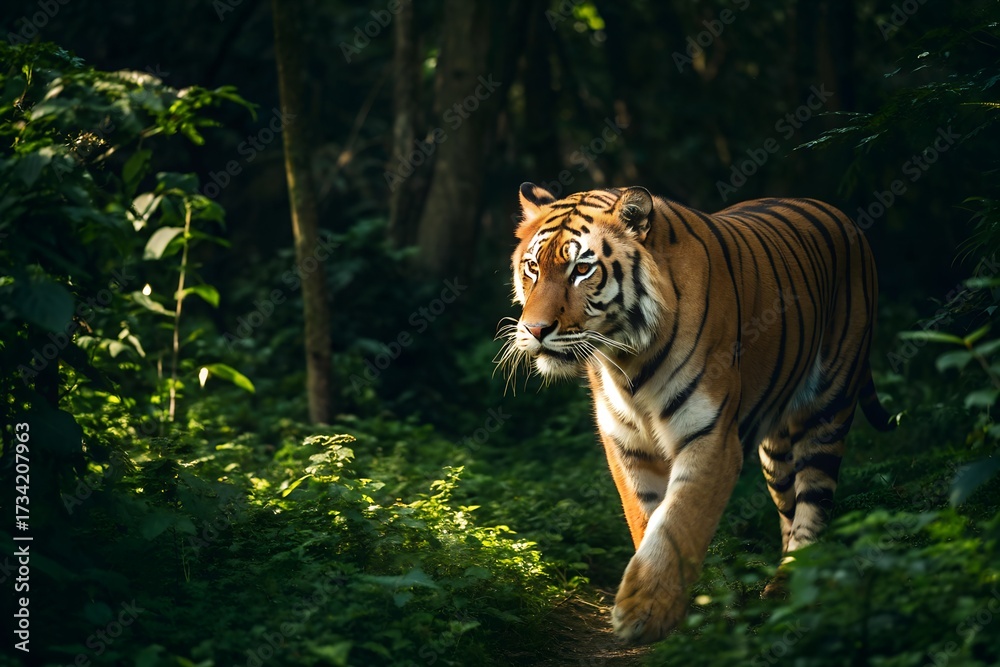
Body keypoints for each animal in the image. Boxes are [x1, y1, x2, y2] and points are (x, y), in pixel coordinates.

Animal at [498, 183, 896, 644]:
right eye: (532, 267)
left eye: (582, 269)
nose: (535, 330)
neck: (628, 358)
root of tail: (839, 214)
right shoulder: (626, 443)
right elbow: (647, 517)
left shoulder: (711, 437)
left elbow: (678, 520)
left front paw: (643, 611)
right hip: (774, 449)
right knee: (788, 505)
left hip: (828, 407)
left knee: (813, 505)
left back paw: (790, 589)